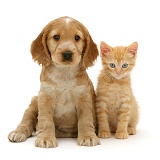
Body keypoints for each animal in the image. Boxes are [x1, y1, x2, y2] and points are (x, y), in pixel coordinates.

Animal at [8, 16, 100, 148]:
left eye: (77, 37)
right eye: (56, 37)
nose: (67, 54)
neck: (64, 72)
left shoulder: (83, 96)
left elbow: (85, 119)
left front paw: (88, 136)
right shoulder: (45, 97)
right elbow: (46, 120)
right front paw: (45, 138)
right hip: (34, 102)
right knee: (27, 119)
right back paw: (17, 132)